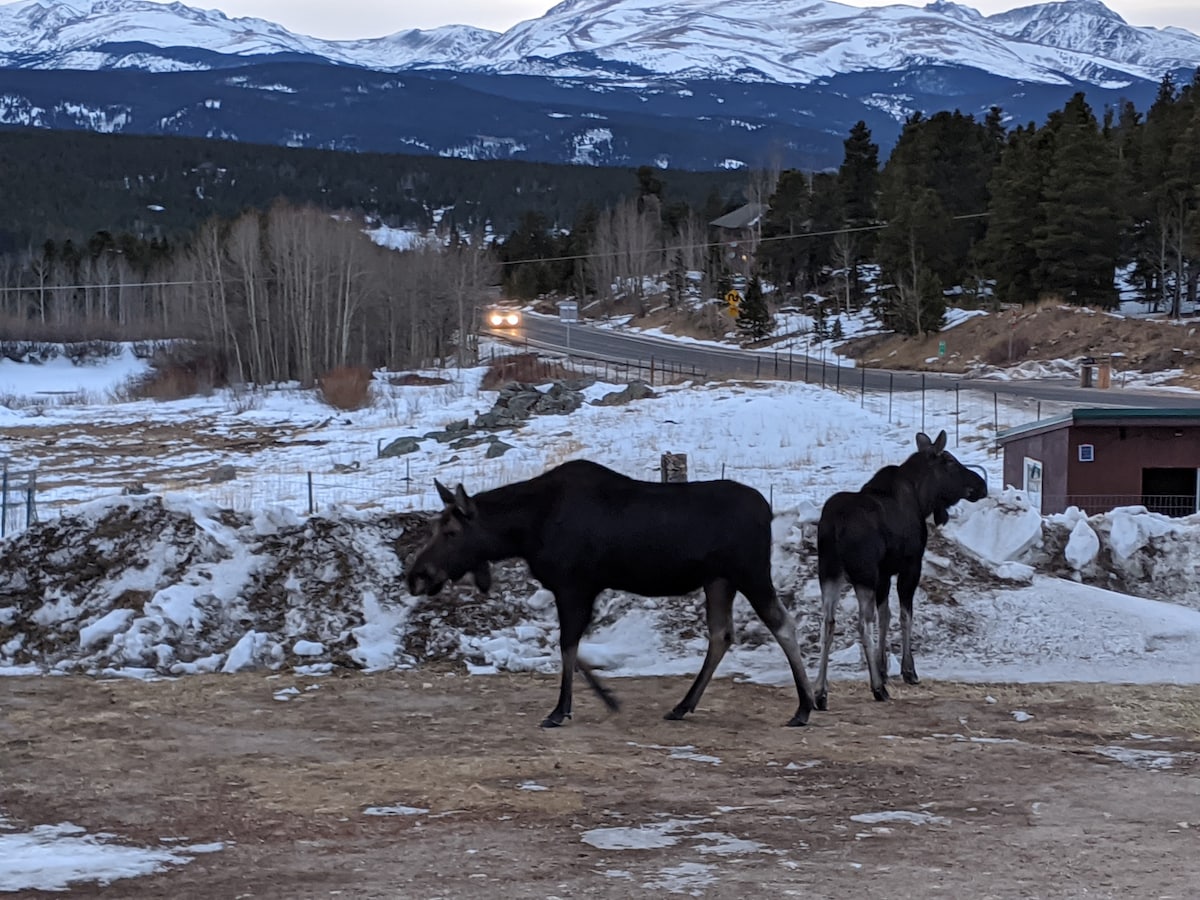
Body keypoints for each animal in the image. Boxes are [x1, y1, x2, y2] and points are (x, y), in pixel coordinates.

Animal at [405, 460, 816, 729]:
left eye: (452, 532)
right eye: (433, 527)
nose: (417, 576)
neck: (524, 532)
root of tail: (768, 511)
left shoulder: (574, 585)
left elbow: (566, 645)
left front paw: (561, 710)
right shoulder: (582, 588)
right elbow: (573, 647)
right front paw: (606, 699)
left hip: (750, 573)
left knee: (783, 624)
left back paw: (805, 706)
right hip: (718, 580)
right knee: (721, 634)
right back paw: (683, 705)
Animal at [816, 429, 984, 710]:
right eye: (949, 461)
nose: (982, 485)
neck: (923, 500)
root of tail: (833, 525)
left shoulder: (885, 572)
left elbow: (886, 615)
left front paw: (884, 667)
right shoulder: (910, 565)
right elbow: (906, 615)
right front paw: (908, 671)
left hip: (829, 572)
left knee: (828, 621)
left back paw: (820, 692)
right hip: (863, 574)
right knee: (862, 623)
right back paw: (877, 688)